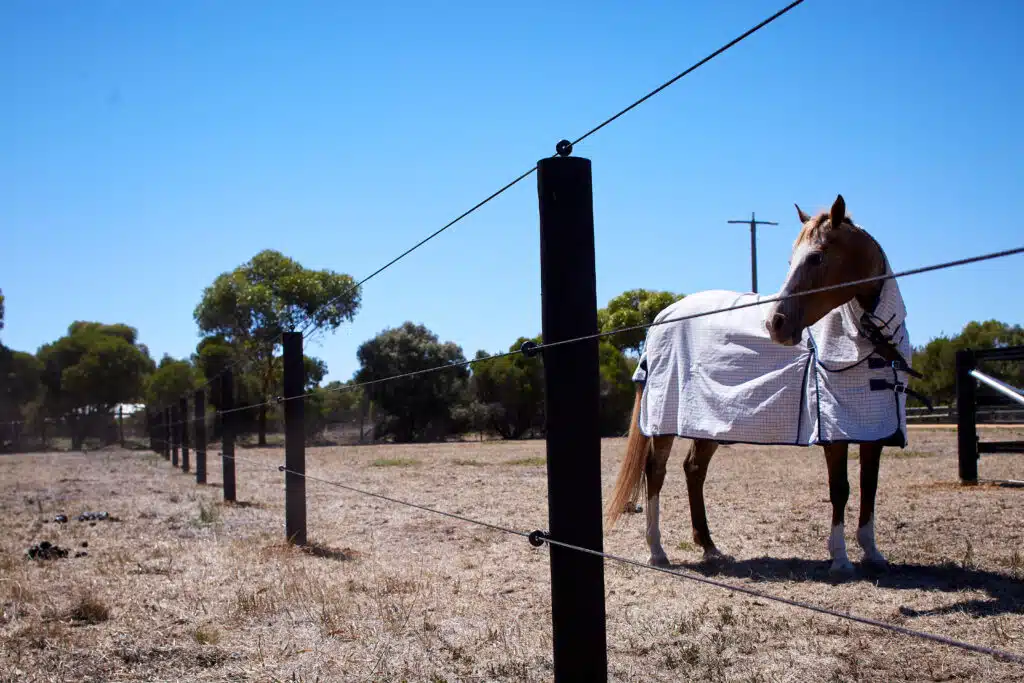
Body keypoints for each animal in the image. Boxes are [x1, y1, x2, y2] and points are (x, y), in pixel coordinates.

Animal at [605, 194, 917, 579]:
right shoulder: (834, 430)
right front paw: (841, 558)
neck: (872, 344)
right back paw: (657, 550)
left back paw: (709, 547)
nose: (775, 323)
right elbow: (840, 489)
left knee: (694, 470)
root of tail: (663, 316)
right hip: (664, 421)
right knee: (655, 472)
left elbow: (869, 487)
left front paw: (872, 552)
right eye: (790, 260)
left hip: (708, 422)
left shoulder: (873, 429)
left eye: (816, 257)